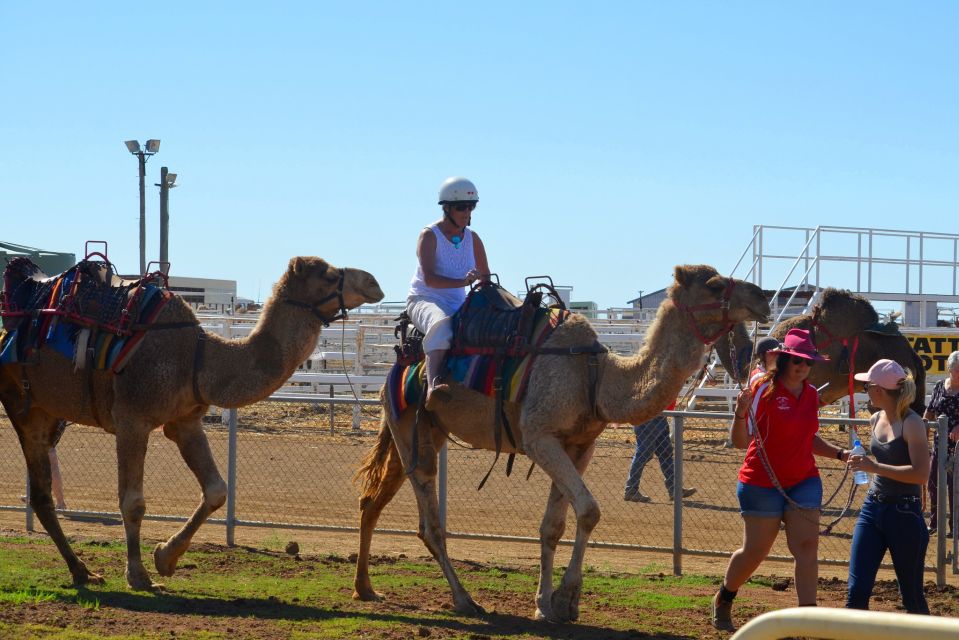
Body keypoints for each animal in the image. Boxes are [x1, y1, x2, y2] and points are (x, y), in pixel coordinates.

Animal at [0, 255, 382, 592]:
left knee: (41, 495)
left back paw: (83, 572)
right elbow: (132, 502)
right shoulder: (132, 419)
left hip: (44, 411)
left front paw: (165, 558)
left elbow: (217, 490)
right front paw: (139, 575)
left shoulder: (185, 422)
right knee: (43, 492)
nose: (373, 283)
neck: (199, 357)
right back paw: (83, 570)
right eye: (329, 275)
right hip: (20, 404)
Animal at [354, 264, 772, 620]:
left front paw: (548, 603)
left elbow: (555, 524)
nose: (764, 296)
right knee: (429, 523)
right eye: (714, 284)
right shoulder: (541, 438)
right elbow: (588, 510)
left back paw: (365, 589)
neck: (597, 376)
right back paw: (464, 600)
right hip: (412, 427)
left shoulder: (579, 445)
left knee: (372, 499)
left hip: (419, 430)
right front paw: (565, 599)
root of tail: (399, 362)